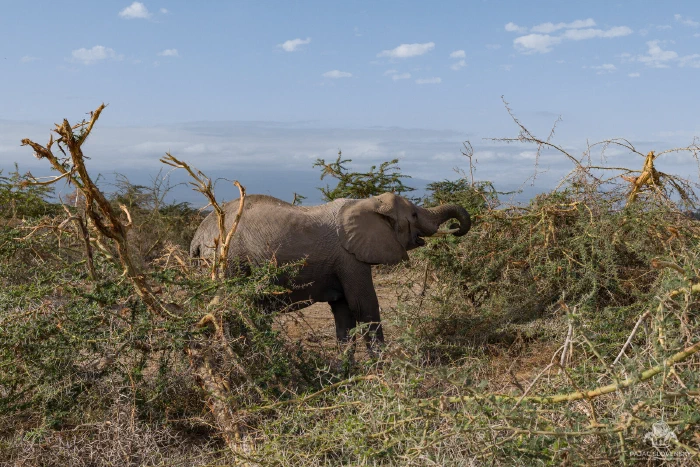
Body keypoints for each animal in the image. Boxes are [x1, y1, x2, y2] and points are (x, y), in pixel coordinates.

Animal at [190, 192, 471, 347]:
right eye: (413, 215)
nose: (457, 228)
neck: (368, 203)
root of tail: (197, 238)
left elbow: (344, 313)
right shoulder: (350, 258)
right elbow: (364, 307)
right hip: (230, 262)